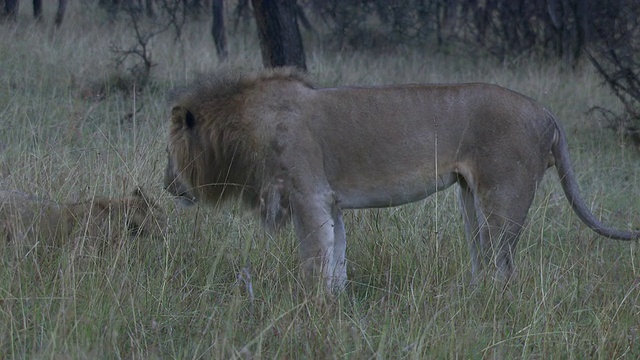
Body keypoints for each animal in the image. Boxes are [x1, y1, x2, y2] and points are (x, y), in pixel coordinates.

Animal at [165, 67, 640, 292]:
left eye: (169, 152)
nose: (168, 186)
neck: (245, 127)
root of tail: (547, 114)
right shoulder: (330, 201)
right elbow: (337, 259)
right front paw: (337, 306)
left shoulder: (308, 196)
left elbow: (314, 260)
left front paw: (311, 309)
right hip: (470, 200)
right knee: (483, 258)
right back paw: (469, 298)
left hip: (504, 198)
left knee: (504, 267)